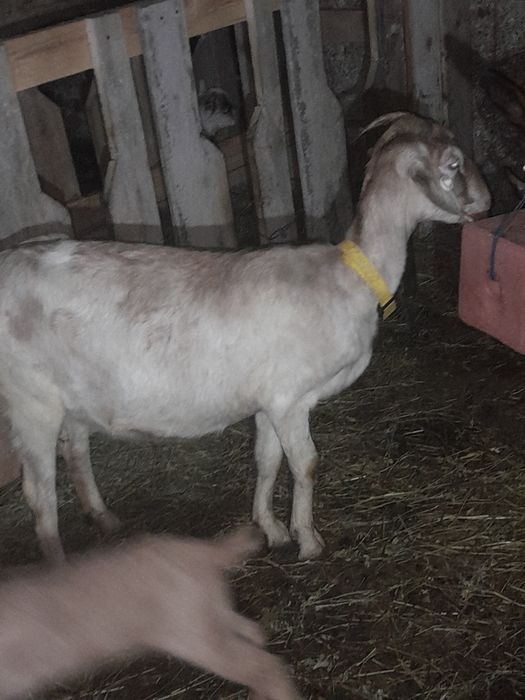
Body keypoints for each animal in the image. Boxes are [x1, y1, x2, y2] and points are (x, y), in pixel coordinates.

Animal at [0, 112, 490, 563]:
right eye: (453, 163)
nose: (489, 200)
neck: (349, 279)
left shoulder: (268, 401)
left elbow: (266, 460)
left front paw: (270, 529)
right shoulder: (291, 398)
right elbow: (306, 465)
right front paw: (308, 541)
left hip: (72, 396)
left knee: (76, 450)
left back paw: (103, 517)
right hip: (30, 400)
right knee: (40, 494)